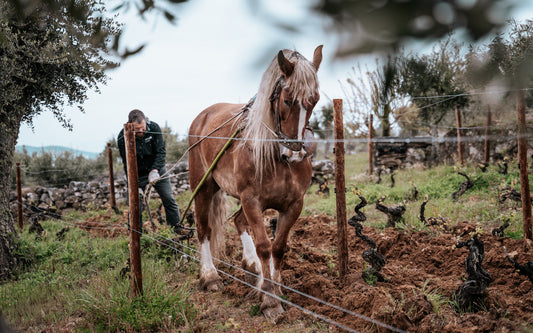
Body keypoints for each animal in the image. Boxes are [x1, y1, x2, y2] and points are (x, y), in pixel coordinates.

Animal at [187, 45, 320, 318]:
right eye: (287, 99)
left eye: (315, 100)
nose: (295, 153)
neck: (276, 157)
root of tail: (203, 116)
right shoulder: (251, 201)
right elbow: (264, 246)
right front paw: (269, 300)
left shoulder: (293, 205)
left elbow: (278, 247)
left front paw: (275, 289)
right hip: (203, 186)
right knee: (204, 229)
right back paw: (210, 277)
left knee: (238, 222)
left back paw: (254, 269)